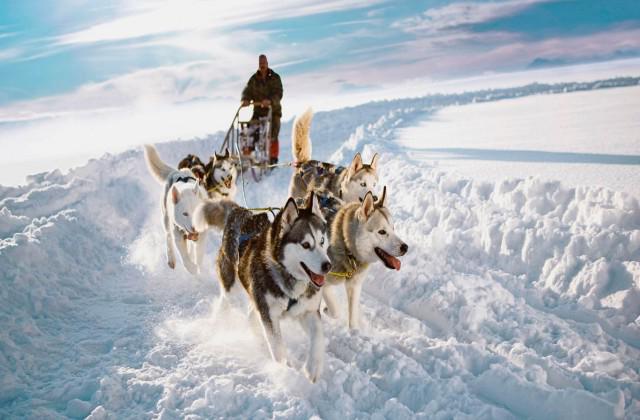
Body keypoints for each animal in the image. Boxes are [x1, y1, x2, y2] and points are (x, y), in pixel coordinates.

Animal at [143, 144, 208, 276]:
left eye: (196, 211)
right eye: (185, 214)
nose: (195, 228)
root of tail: (176, 171)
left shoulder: (202, 234)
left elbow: (199, 254)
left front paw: (198, 266)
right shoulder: (178, 236)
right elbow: (185, 259)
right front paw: (193, 268)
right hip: (166, 219)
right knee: (168, 237)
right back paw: (171, 259)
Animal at [194, 192, 332, 382]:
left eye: (322, 241)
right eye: (305, 245)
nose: (328, 266)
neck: (288, 277)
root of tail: (241, 212)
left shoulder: (308, 311)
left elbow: (318, 337)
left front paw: (312, 368)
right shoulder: (269, 314)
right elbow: (277, 348)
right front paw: (285, 373)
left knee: (252, 315)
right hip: (232, 286)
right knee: (226, 301)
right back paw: (220, 321)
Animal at [322, 189, 408, 330]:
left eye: (393, 228)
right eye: (382, 232)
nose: (405, 247)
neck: (347, 247)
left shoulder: (354, 285)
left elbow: (352, 318)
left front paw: (354, 332)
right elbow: (335, 311)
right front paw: (326, 310)